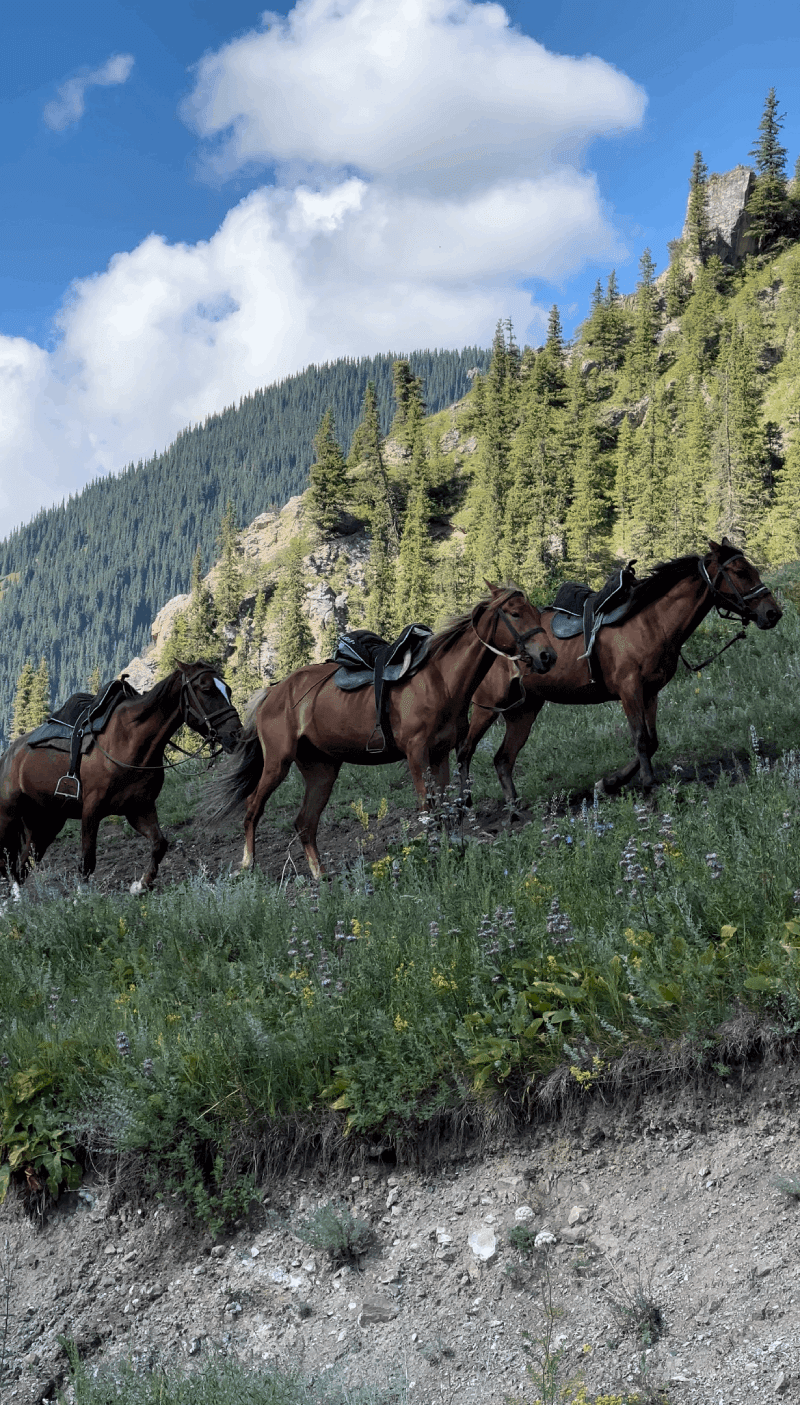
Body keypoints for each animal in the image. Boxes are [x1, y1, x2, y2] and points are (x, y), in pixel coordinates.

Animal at [0, 662, 242, 892]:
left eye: (228, 689)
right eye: (207, 689)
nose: (236, 735)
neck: (130, 740)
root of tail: (7, 756)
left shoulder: (139, 808)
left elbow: (159, 844)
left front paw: (141, 885)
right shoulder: (91, 810)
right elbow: (87, 861)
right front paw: (81, 899)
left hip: (45, 823)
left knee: (23, 866)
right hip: (9, 819)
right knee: (8, 864)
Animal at [214, 584, 557, 879]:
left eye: (534, 611)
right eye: (514, 613)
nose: (547, 656)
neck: (441, 680)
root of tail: (272, 692)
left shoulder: (440, 754)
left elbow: (444, 808)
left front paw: (448, 851)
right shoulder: (416, 754)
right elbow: (427, 808)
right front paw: (431, 855)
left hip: (322, 770)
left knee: (305, 822)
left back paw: (320, 875)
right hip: (277, 764)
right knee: (253, 807)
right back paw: (248, 866)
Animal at [457, 540, 782, 807]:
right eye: (740, 572)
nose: (773, 613)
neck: (651, 622)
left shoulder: (650, 692)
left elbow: (652, 740)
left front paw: (610, 783)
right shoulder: (630, 690)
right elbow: (640, 739)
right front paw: (648, 786)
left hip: (523, 710)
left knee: (503, 759)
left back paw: (514, 808)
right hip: (488, 707)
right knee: (465, 751)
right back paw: (463, 805)